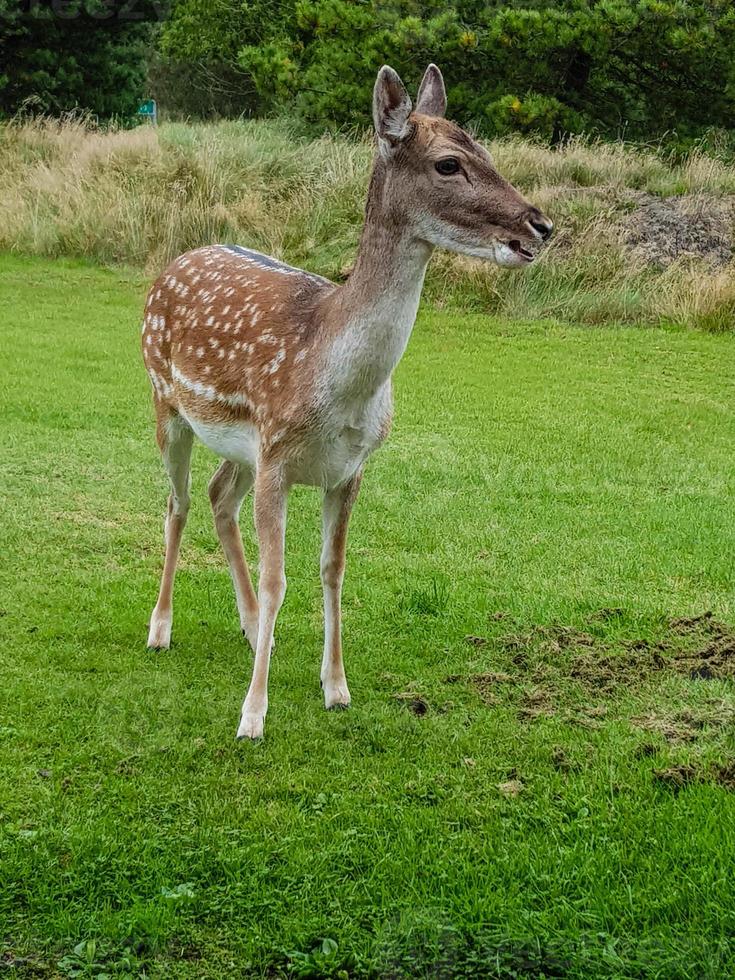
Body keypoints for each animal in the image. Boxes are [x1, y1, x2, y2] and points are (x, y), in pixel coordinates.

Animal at [142, 65, 552, 740]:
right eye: (448, 163)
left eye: (487, 152)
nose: (540, 226)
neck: (339, 381)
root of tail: (175, 260)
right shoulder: (279, 458)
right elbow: (279, 577)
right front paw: (252, 716)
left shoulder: (348, 468)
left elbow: (332, 570)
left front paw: (336, 687)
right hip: (165, 403)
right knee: (178, 502)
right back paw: (161, 628)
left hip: (241, 445)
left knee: (218, 496)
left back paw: (250, 628)